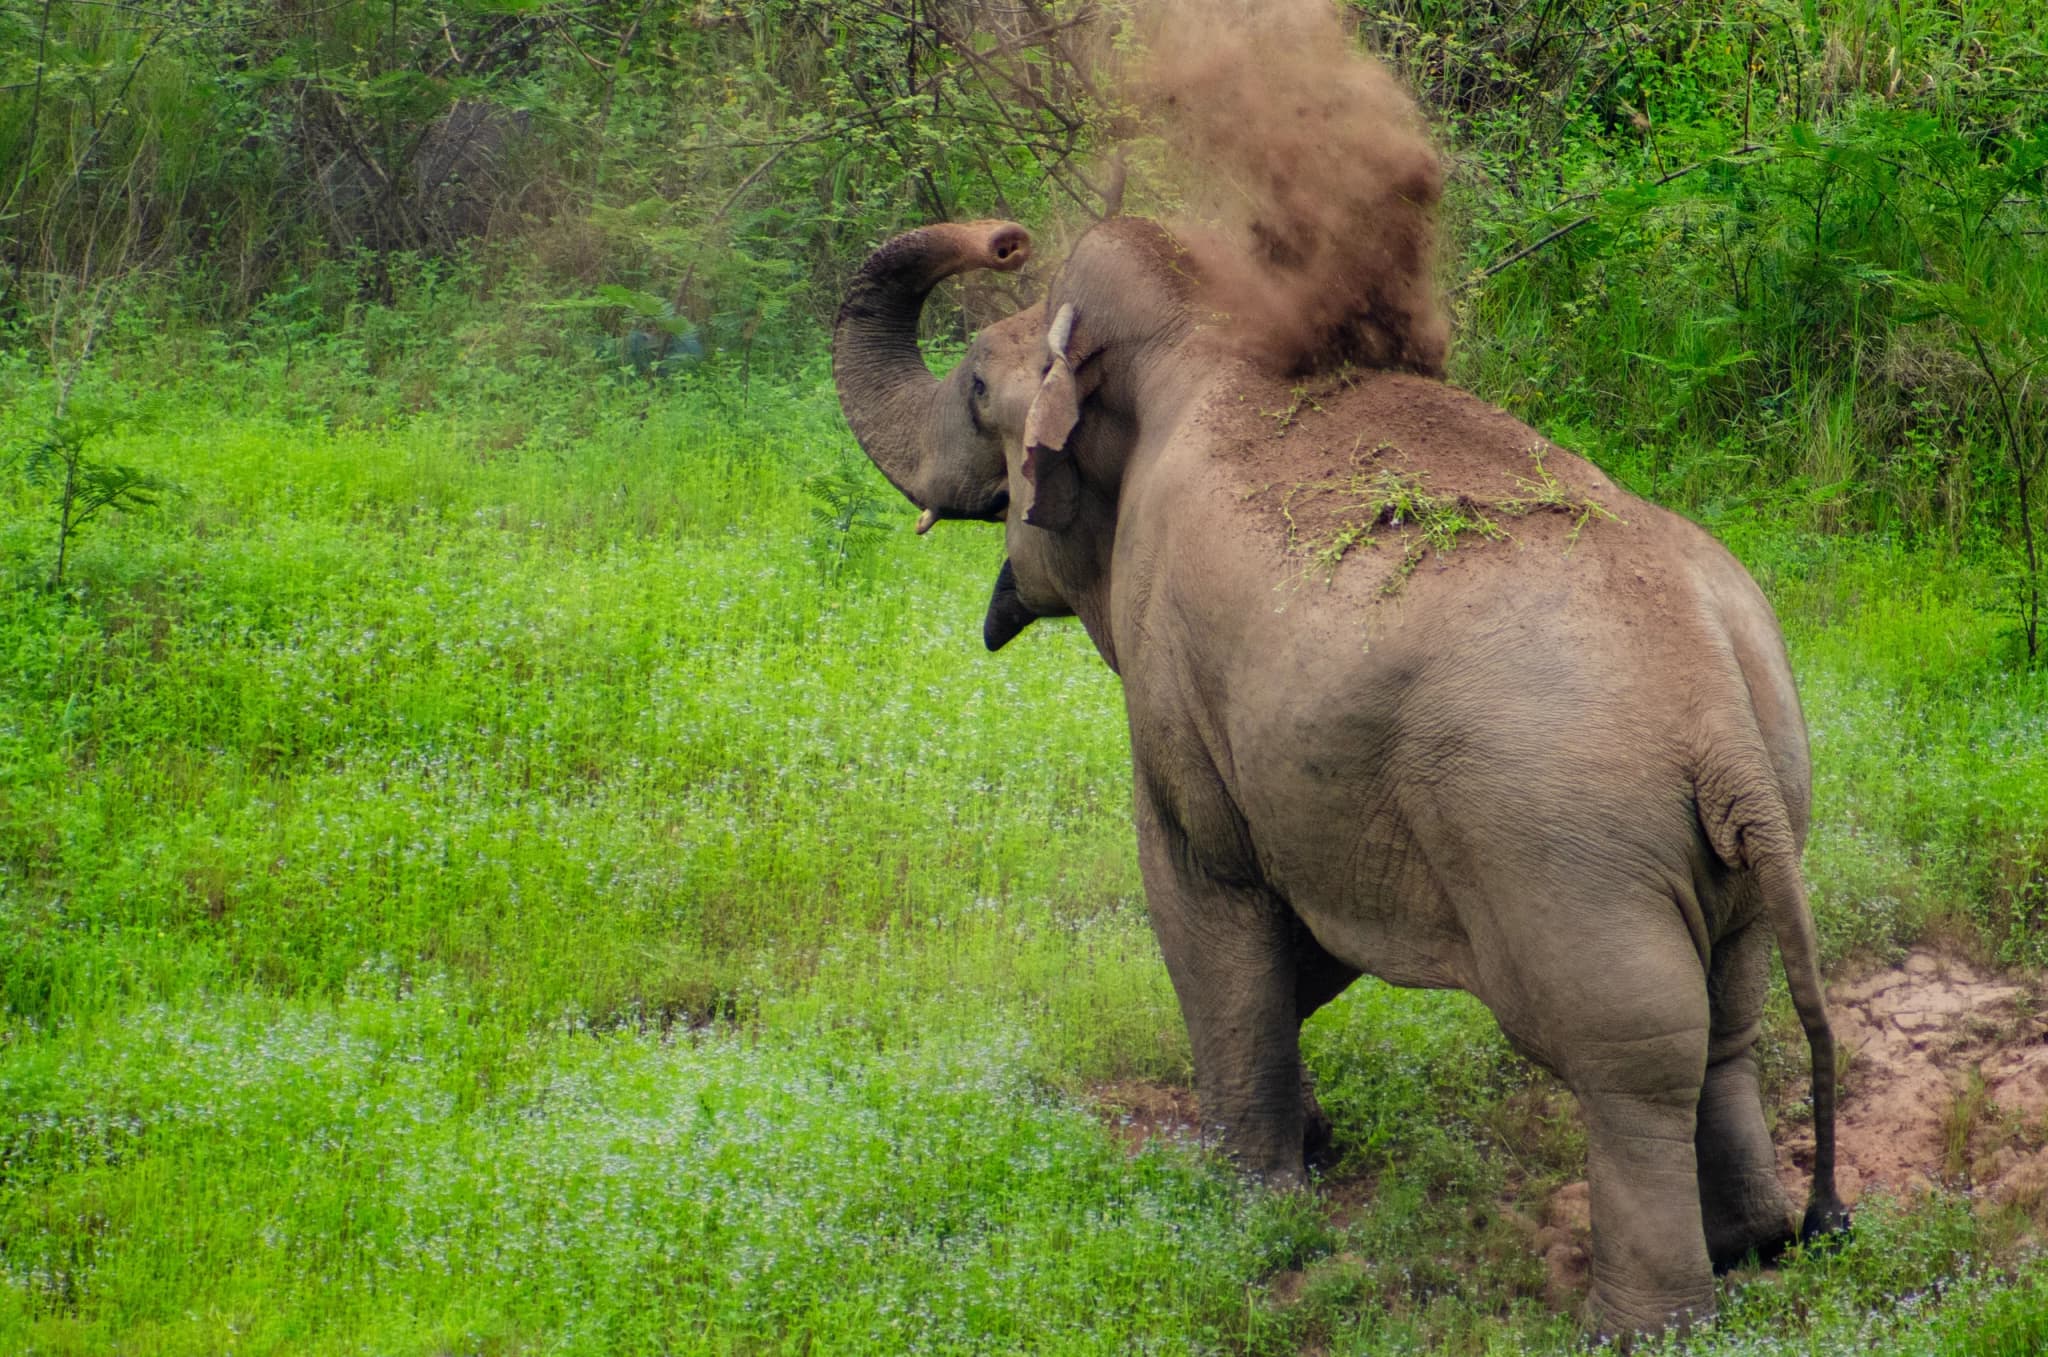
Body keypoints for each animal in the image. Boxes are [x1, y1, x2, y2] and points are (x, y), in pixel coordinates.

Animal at [830, 216, 1847, 1336]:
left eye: (974, 384)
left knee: (1635, 1050)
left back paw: (1642, 1325)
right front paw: (1308, 1144)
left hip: (1564, 853)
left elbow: (1201, 900)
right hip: (1752, 821)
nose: (1002, 238)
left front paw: (1242, 1198)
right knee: (1728, 1014)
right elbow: (1300, 940)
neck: (1196, 333)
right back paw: (1753, 1243)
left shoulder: (1174, 686)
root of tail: (1718, 710)